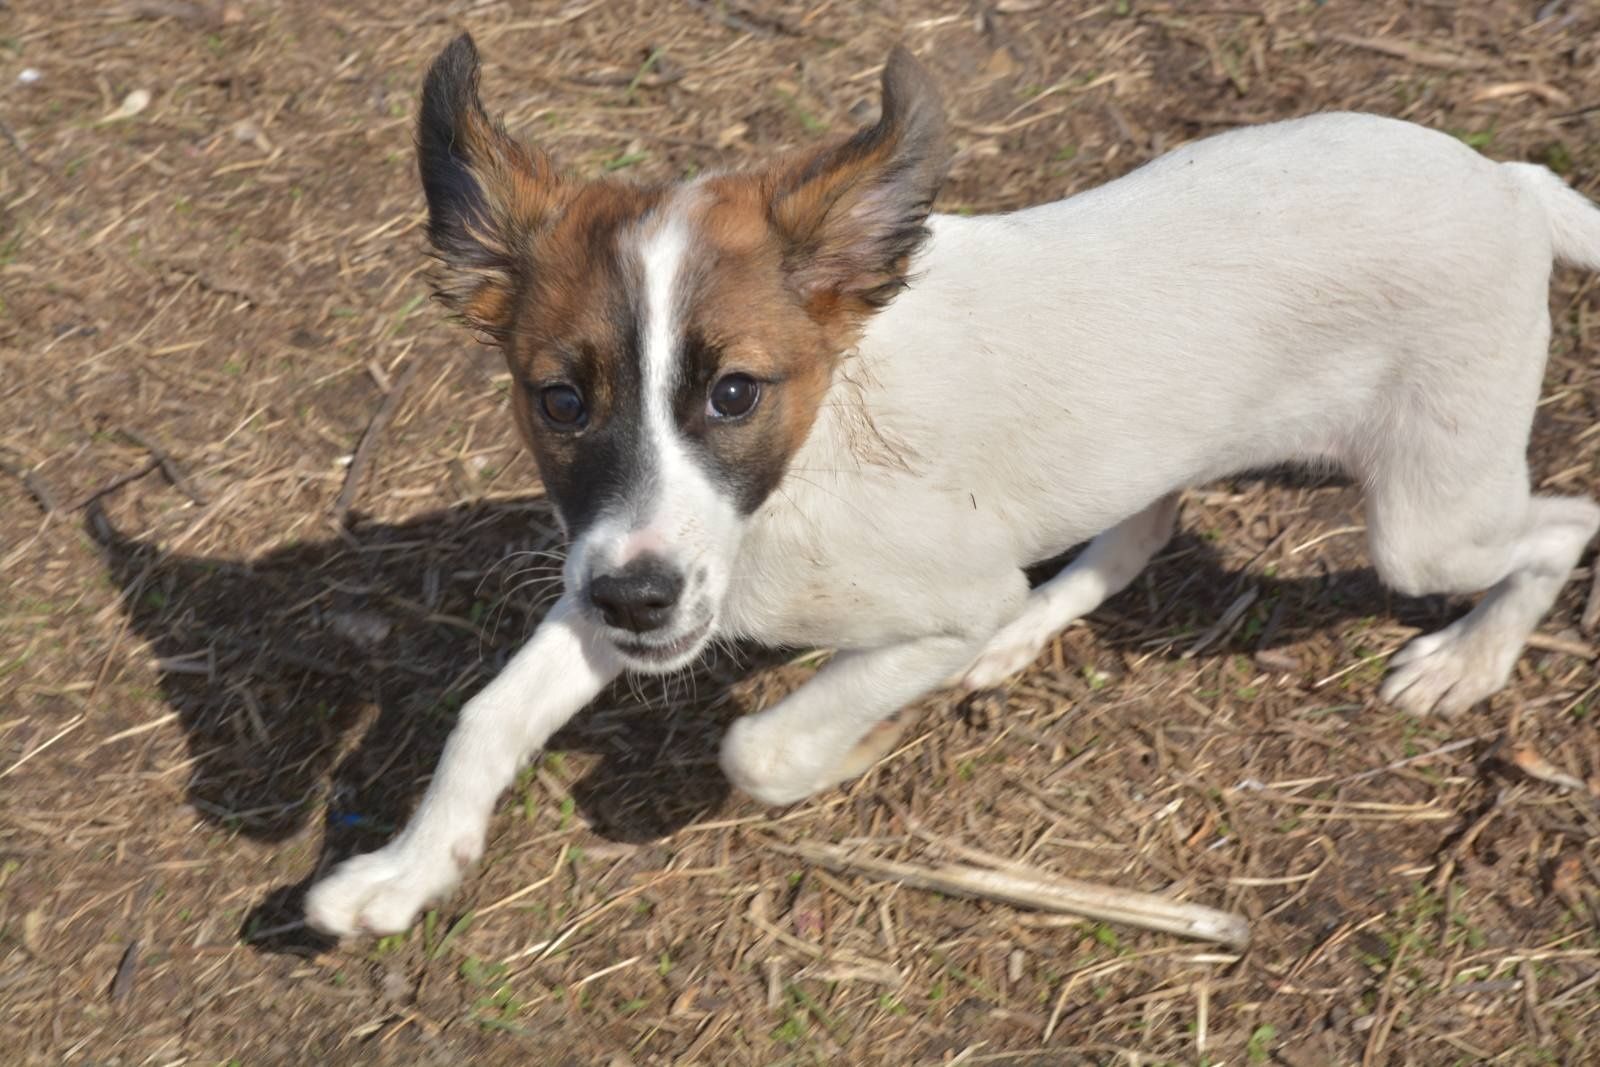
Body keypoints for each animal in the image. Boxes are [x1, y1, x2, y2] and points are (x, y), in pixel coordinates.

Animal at [302, 35, 1600, 934]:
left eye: (734, 391)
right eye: (560, 401)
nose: (636, 604)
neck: (808, 464)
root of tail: (1511, 180)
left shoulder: (899, 599)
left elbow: (761, 747)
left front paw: (851, 747)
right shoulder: (626, 566)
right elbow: (488, 712)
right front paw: (405, 871)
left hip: (1425, 518)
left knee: (1563, 521)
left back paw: (1471, 656)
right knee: (1141, 523)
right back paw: (1028, 632)